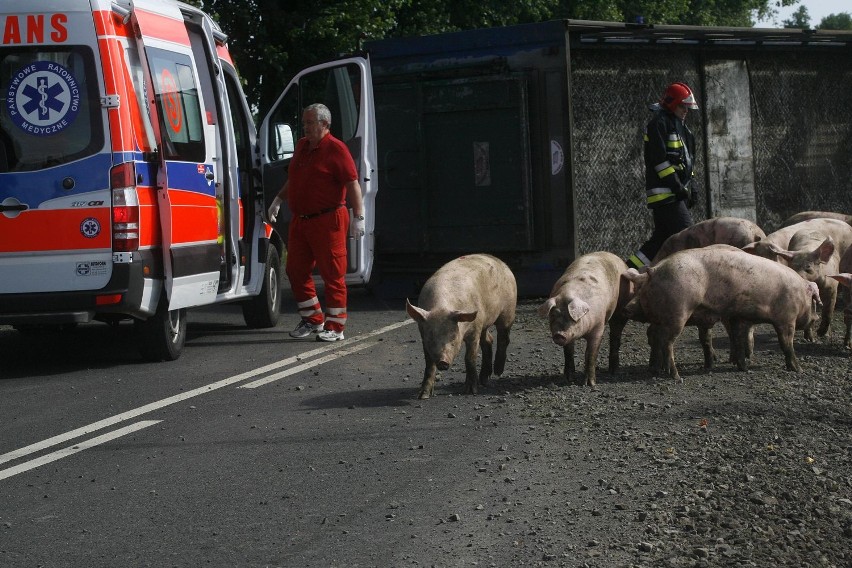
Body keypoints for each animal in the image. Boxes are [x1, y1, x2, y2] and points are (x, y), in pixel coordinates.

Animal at [404, 254, 516, 400]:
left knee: (503, 338)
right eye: (431, 338)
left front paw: (471, 391)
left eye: (453, 338)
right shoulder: (423, 334)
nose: (443, 362)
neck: (442, 308)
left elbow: (469, 358)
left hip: (508, 310)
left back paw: (497, 372)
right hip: (484, 323)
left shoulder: (474, 330)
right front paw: (423, 396)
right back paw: (485, 380)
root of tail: (500, 262)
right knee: (488, 340)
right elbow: (429, 364)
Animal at [536, 252, 628, 388]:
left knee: (615, 336)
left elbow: (591, 354)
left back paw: (613, 371)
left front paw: (589, 384)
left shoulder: (598, 327)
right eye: (553, 315)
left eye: (571, 318)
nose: (559, 334)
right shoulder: (569, 336)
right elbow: (568, 353)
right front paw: (568, 379)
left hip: (620, 309)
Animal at [624, 247, 824, 382]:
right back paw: (676, 376)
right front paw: (798, 370)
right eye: (814, 302)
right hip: (678, 313)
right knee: (667, 342)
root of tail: (654, 271)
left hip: (662, 316)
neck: (799, 293)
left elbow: (738, 340)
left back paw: (656, 370)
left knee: (655, 337)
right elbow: (786, 345)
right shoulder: (786, 318)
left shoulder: (737, 317)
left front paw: (744, 368)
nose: (816, 318)